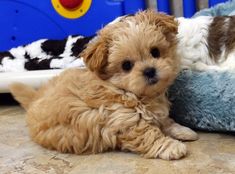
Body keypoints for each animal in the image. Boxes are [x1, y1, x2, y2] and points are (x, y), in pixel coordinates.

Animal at [9, 10, 196, 160]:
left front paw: (183, 131)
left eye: (155, 52)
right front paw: (172, 146)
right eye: (126, 65)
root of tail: (35, 97)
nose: (149, 71)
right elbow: (149, 134)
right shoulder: (124, 120)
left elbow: (166, 121)